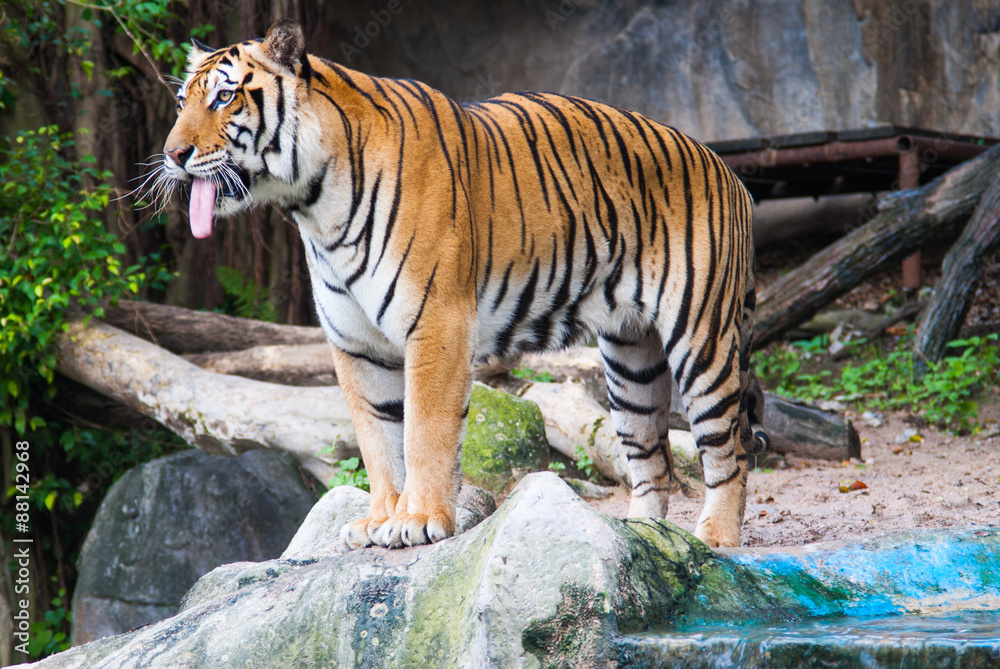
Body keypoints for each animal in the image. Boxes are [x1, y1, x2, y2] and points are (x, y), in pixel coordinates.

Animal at [159, 19, 768, 550]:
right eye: (182, 102)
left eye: (224, 98)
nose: (172, 155)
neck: (312, 205)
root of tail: (729, 171)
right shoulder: (355, 344)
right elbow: (378, 438)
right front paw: (378, 520)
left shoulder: (436, 323)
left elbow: (424, 432)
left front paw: (418, 521)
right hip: (630, 357)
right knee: (652, 456)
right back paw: (646, 540)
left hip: (702, 337)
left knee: (729, 445)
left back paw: (714, 537)